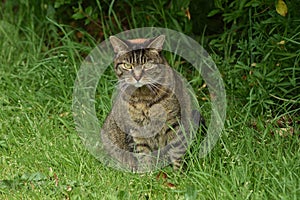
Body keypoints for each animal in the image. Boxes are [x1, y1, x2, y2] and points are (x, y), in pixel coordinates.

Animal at [100, 34, 202, 172]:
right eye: (127, 65)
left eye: (147, 65)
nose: (137, 77)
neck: (143, 97)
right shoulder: (136, 129)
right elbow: (143, 153)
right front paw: (147, 173)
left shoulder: (174, 123)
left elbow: (176, 149)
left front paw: (179, 173)